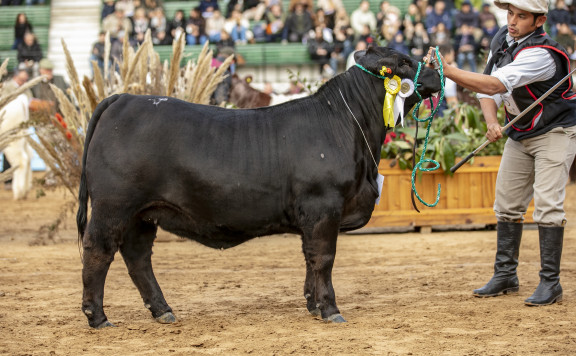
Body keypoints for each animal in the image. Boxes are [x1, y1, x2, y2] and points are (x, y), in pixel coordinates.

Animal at [77, 46, 440, 328]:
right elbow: (324, 257)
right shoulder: (324, 205)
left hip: (143, 214)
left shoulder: (311, 217)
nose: (437, 72)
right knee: (98, 251)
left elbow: (309, 257)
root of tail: (124, 98)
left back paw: (163, 311)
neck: (348, 126)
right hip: (113, 206)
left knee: (138, 257)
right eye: (404, 62)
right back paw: (98, 317)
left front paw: (312, 305)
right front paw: (330, 309)